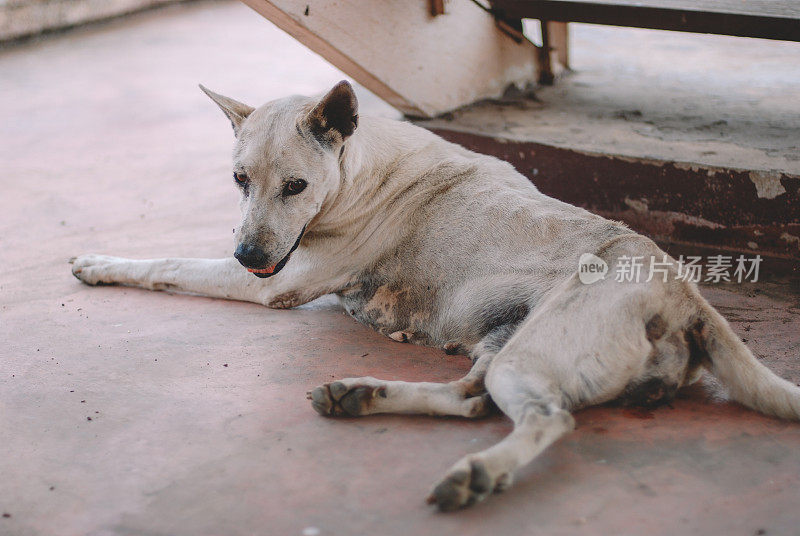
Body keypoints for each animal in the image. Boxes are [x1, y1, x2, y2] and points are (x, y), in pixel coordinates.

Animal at [72, 80, 796, 510]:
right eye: (238, 180)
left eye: (296, 187)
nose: (249, 257)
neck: (361, 164)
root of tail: (685, 296)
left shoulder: (282, 279)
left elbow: (168, 262)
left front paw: (101, 263)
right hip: (507, 339)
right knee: (470, 399)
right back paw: (362, 395)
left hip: (527, 354)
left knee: (545, 418)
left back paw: (476, 471)